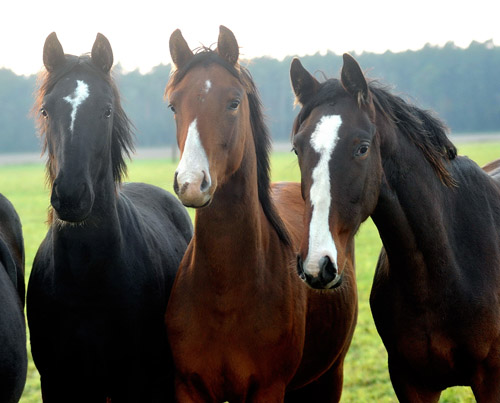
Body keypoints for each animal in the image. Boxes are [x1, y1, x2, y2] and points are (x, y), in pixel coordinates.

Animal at [26, 32, 193, 403]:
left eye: (106, 110)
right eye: (46, 110)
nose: (71, 195)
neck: (85, 275)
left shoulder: (133, 383)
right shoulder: (55, 382)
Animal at [163, 26, 356, 402]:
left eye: (233, 102)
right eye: (173, 105)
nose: (191, 183)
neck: (225, 290)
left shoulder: (268, 389)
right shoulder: (188, 388)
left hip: (331, 376)